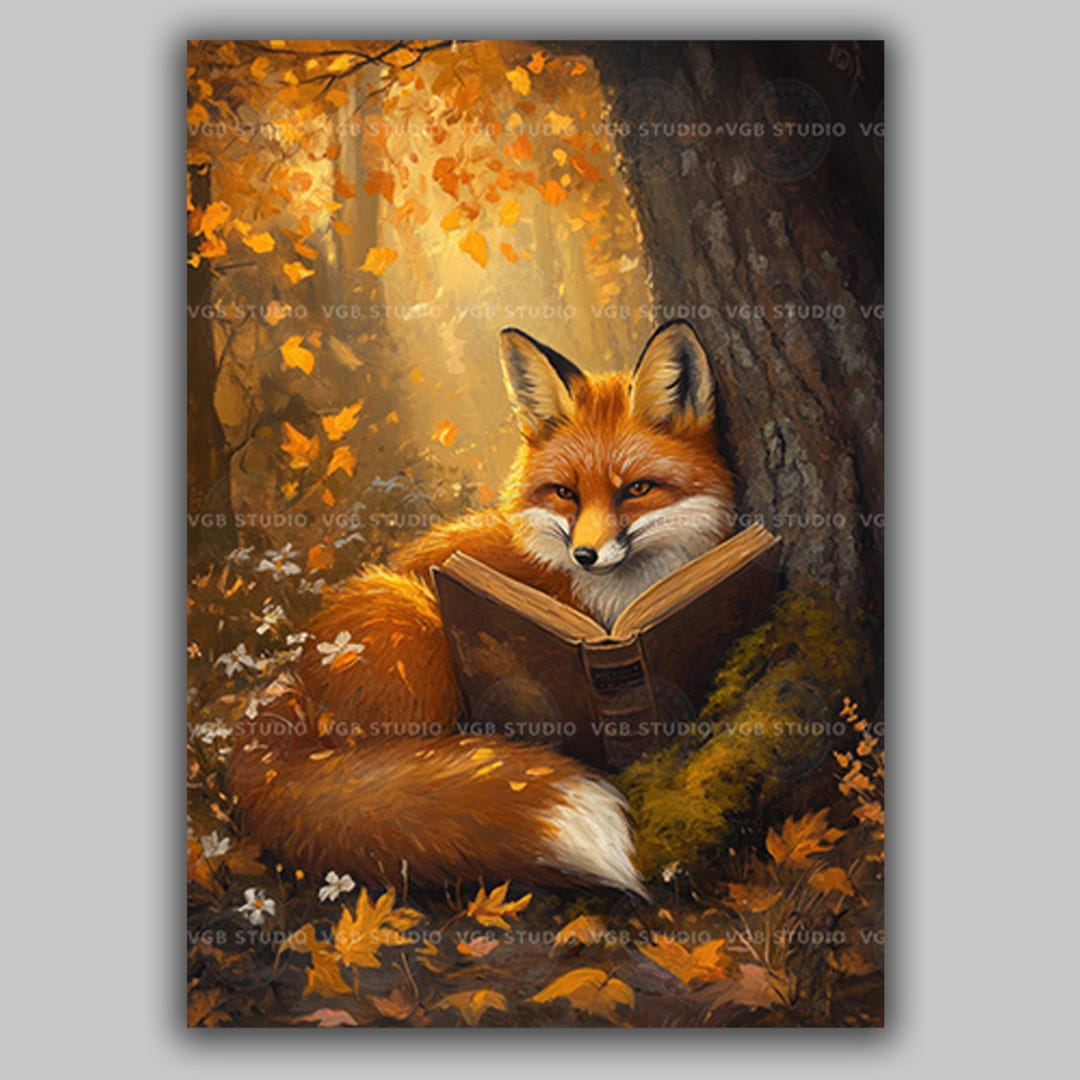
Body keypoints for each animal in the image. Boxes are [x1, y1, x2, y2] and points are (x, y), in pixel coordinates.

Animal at [227, 320, 735, 898]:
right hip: (415, 623)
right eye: (565, 493)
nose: (585, 555)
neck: (613, 599)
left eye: (637, 490)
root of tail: (294, 680)